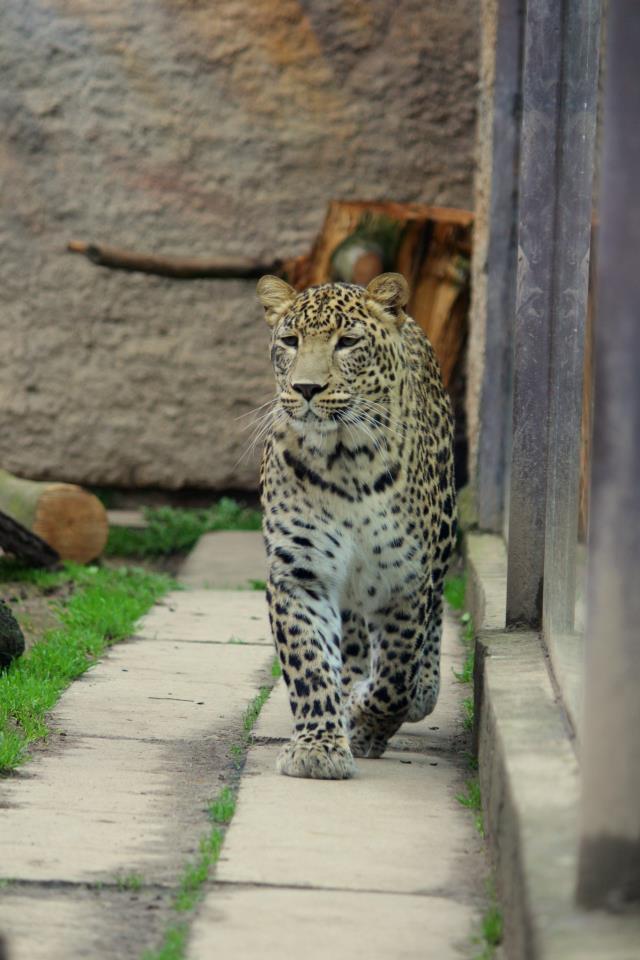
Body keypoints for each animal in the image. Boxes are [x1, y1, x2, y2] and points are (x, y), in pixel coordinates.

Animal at [257, 272, 456, 780]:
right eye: (290, 341)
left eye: (347, 342)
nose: (306, 388)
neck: (342, 459)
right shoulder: (300, 573)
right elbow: (309, 663)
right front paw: (318, 746)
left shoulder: (404, 581)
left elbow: (394, 681)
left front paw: (365, 722)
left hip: (444, 532)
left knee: (435, 614)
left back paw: (423, 688)